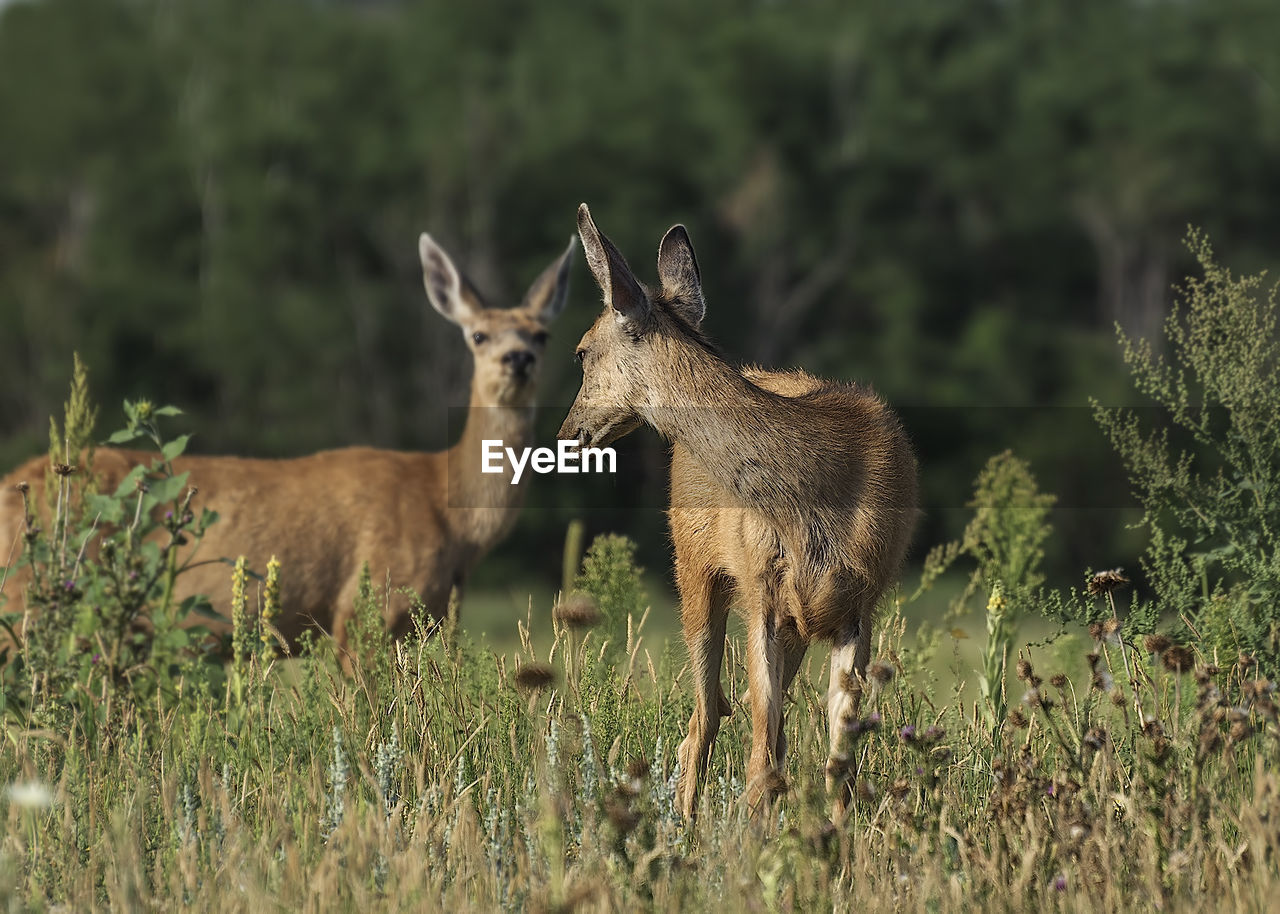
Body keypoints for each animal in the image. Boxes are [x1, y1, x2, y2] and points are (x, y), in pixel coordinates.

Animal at [0, 227, 570, 655]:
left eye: (542, 335)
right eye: (478, 335)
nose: (518, 359)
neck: (450, 516)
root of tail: (13, 482)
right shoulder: (365, 606)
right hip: (27, 594)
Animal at [555, 203, 916, 814]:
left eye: (580, 352)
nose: (567, 434)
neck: (816, 491)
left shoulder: (862, 602)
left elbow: (838, 756)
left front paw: (835, 838)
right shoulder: (760, 587)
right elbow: (760, 753)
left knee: (730, 715)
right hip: (694, 567)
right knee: (705, 716)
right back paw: (681, 826)